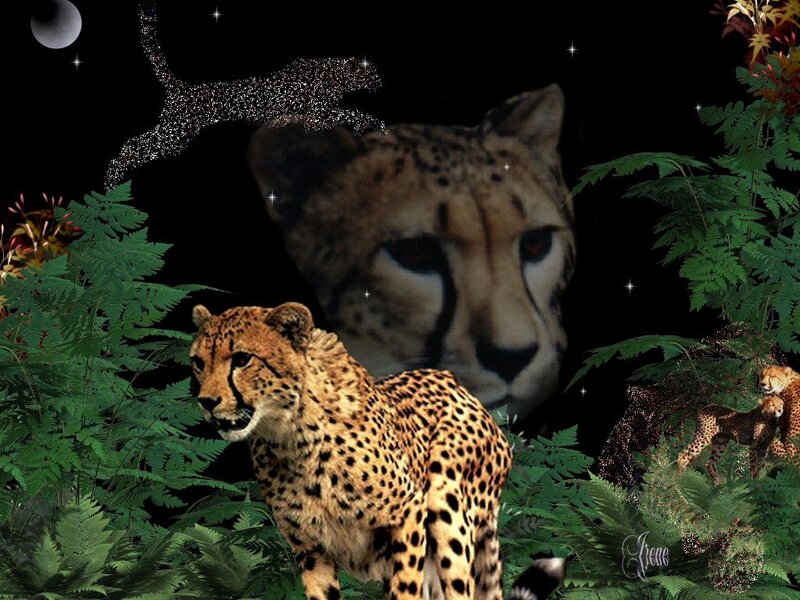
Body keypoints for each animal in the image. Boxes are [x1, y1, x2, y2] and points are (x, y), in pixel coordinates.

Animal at [189, 302, 565, 599]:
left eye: (242, 359)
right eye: (198, 362)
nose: (206, 401)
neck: (290, 434)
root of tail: (457, 383)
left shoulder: (409, 514)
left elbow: (406, 588)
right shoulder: (311, 548)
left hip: (449, 511)